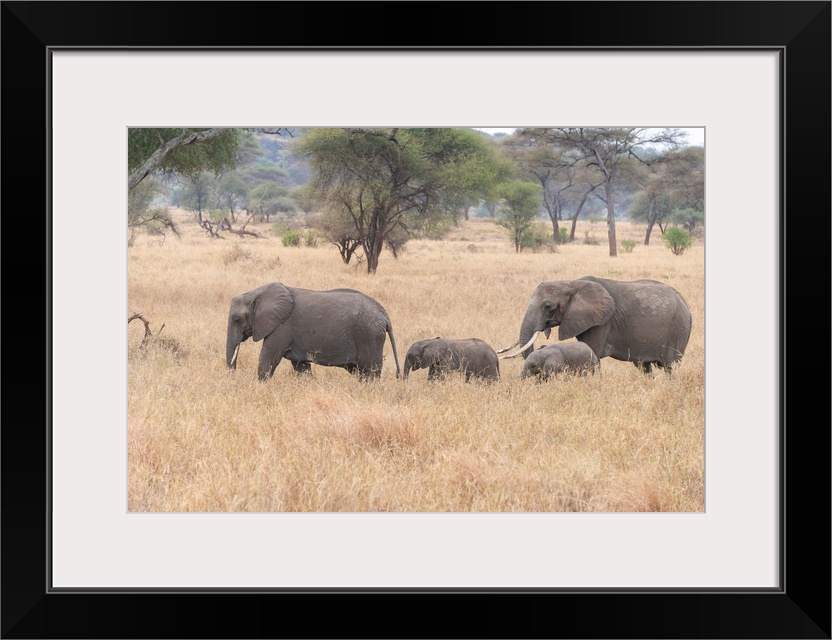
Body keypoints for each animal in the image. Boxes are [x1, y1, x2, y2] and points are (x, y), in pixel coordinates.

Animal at [224, 282, 400, 380]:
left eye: (237, 319)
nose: (232, 378)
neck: (256, 293)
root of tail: (385, 315)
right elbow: (301, 366)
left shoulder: (282, 326)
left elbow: (269, 359)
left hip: (369, 336)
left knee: (370, 372)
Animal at [498, 276, 692, 376]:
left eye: (547, 306)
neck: (570, 283)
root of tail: (686, 305)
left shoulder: (603, 322)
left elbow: (591, 350)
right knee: (644, 367)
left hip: (678, 330)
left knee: (671, 367)